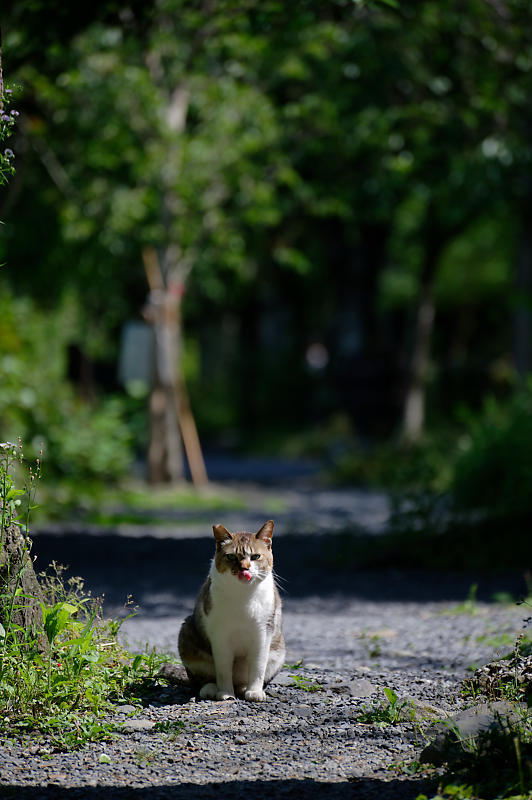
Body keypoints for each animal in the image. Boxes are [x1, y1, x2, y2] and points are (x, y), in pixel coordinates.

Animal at [178, 520, 286, 700]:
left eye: (256, 557)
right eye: (231, 556)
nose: (244, 568)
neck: (243, 595)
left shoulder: (263, 632)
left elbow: (258, 665)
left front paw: (255, 692)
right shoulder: (220, 635)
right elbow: (223, 668)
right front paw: (226, 694)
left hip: (279, 651)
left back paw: (243, 688)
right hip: (186, 633)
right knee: (200, 678)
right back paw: (211, 689)